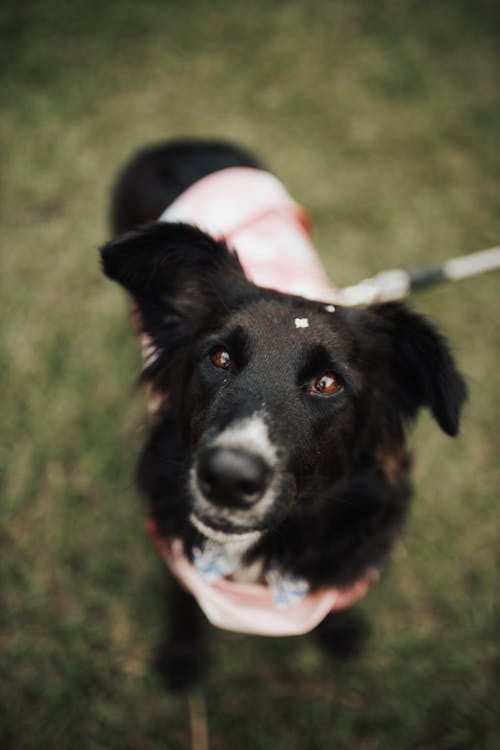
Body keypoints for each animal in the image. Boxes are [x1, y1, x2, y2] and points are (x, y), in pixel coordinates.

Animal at [99, 138, 466, 692]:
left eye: (328, 383)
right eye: (219, 357)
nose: (228, 479)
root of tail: (183, 141)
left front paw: (338, 629)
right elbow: (182, 596)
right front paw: (182, 654)